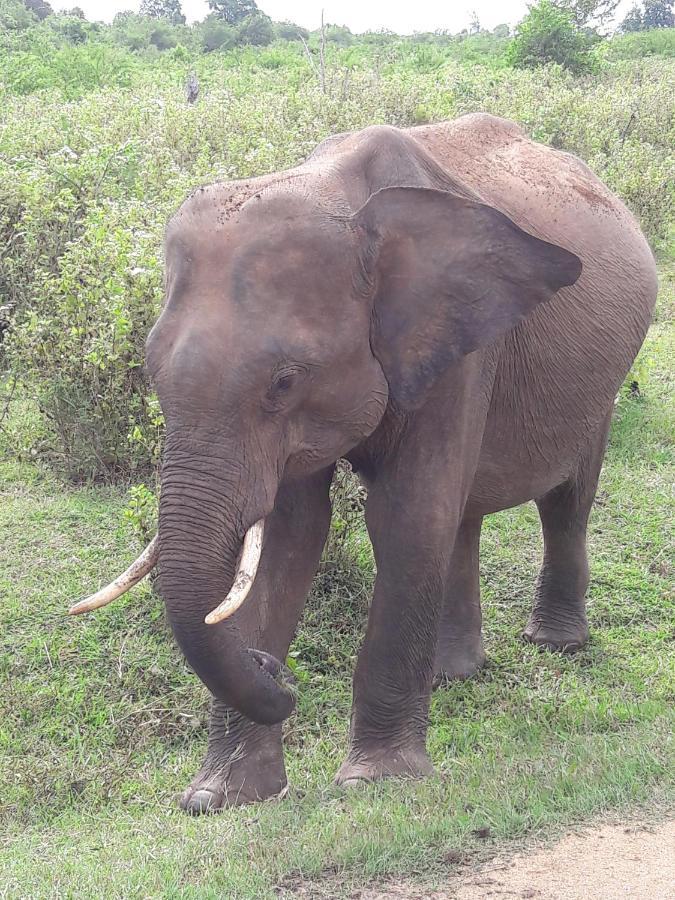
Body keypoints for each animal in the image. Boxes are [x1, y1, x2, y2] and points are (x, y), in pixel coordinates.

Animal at [71, 112, 656, 816]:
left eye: (285, 381)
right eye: (150, 370)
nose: (274, 669)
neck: (341, 199)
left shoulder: (455, 344)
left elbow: (404, 517)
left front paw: (376, 783)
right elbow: (292, 534)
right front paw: (220, 798)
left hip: (607, 375)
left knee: (564, 499)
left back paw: (552, 645)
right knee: (461, 514)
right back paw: (450, 675)